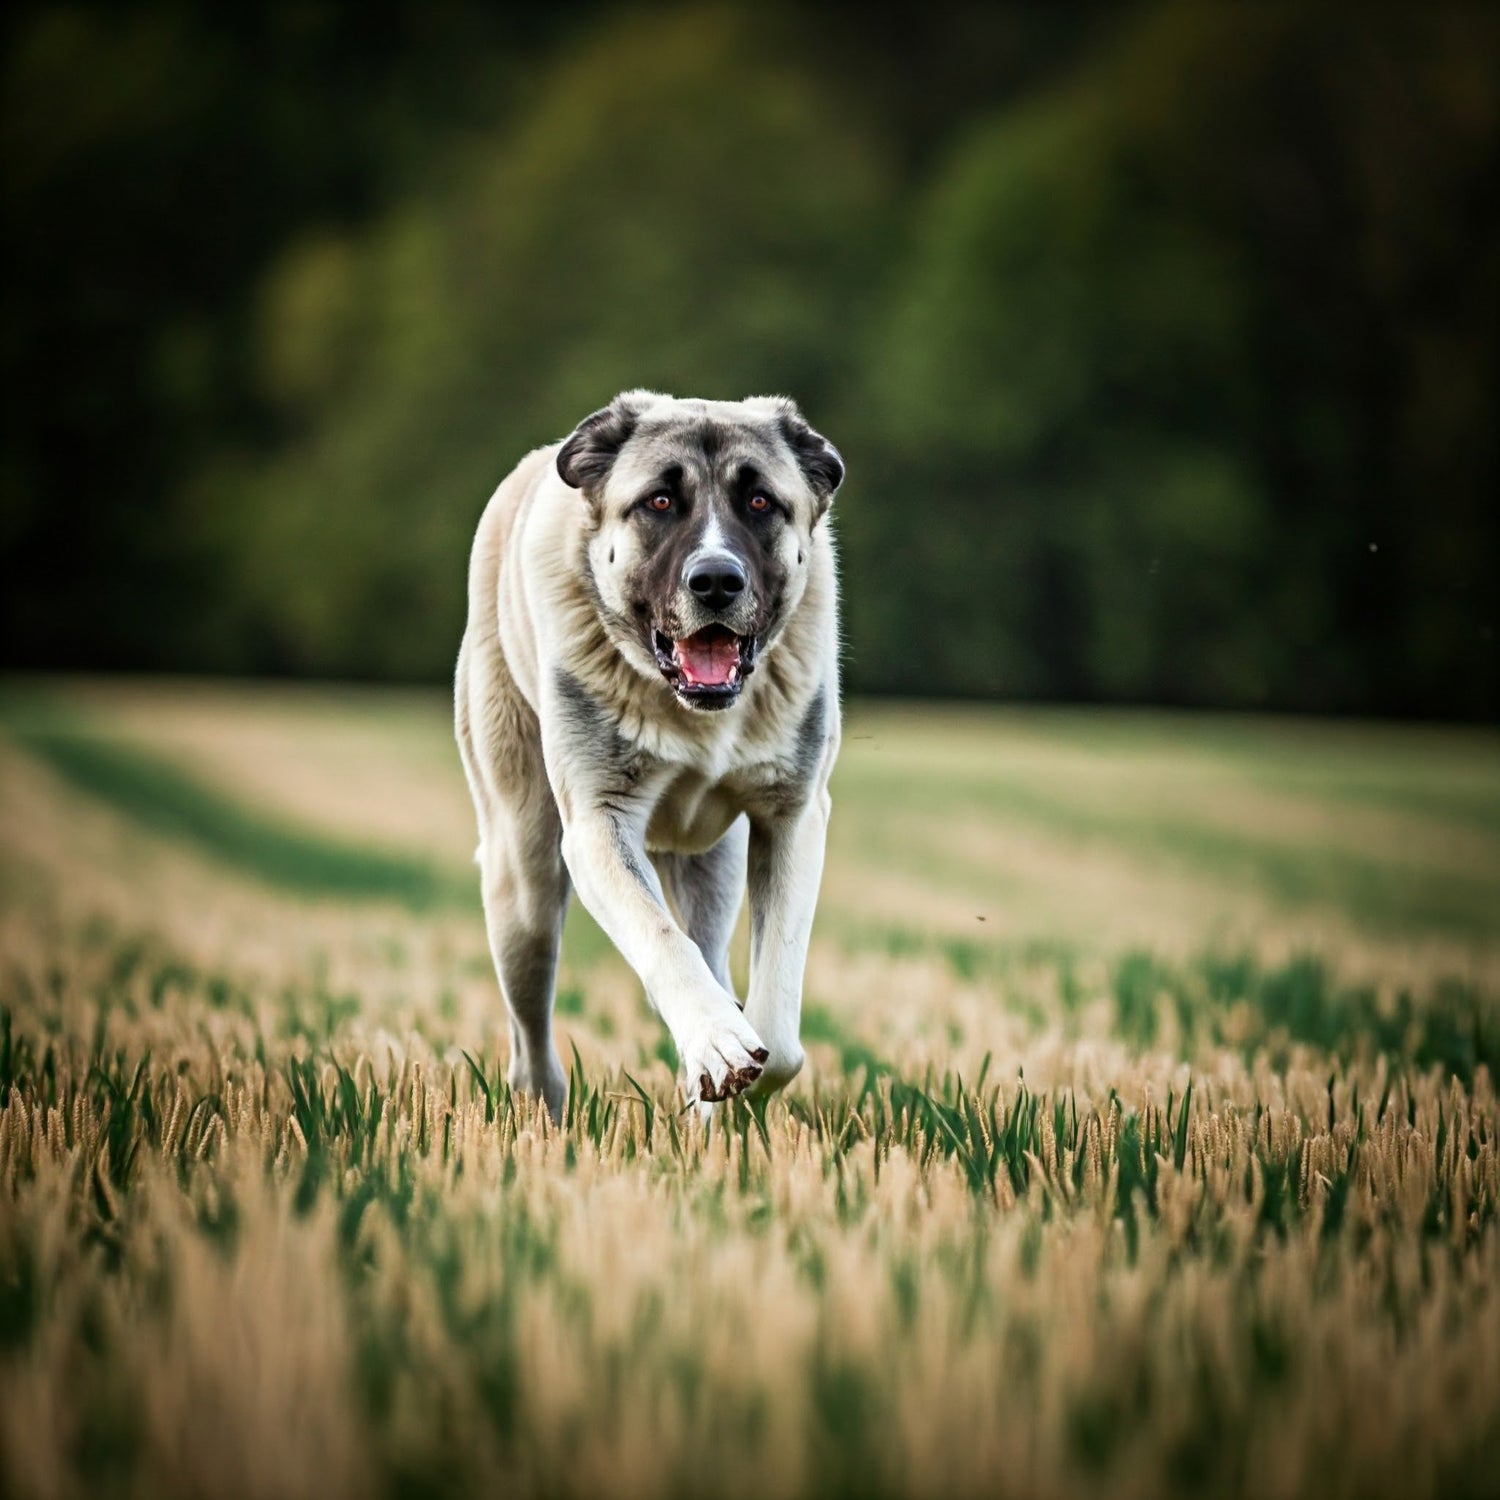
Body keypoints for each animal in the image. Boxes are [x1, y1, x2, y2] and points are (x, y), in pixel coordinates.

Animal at [453, 393, 846, 1122]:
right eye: (660, 501)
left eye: (760, 502)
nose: (716, 579)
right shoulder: (597, 824)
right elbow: (660, 939)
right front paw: (718, 1043)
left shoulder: (794, 816)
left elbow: (777, 1016)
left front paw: (736, 1067)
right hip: (522, 884)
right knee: (531, 1031)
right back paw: (545, 1111)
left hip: (712, 871)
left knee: (709, 948)